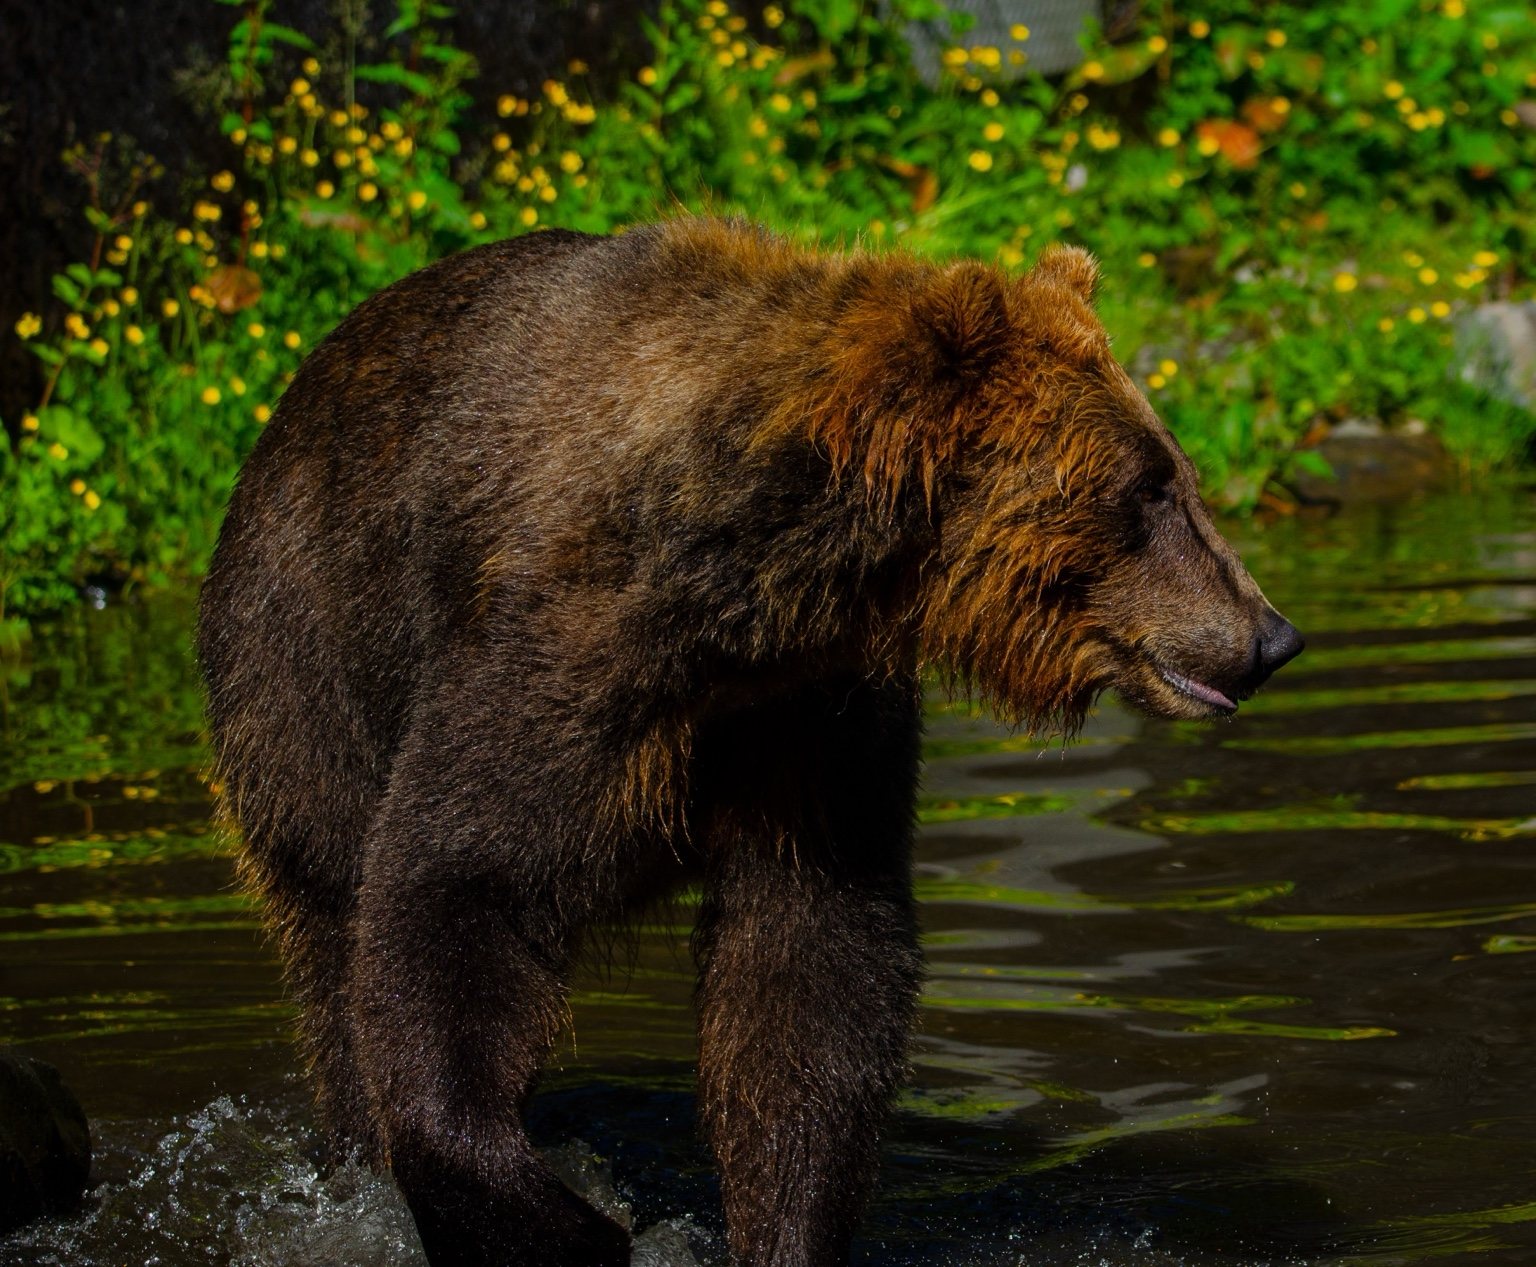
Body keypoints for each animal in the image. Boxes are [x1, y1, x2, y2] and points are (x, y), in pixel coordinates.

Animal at [197, 218, 1302, 1267]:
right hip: (301, 662)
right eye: (1147, 486)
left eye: (1177, 472)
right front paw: (565, 1226)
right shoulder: (555, 645)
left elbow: (807, 966)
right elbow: (453, 887)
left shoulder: (809, 716)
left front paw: (781, 1222)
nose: (1270, 635)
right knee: (331, 924)